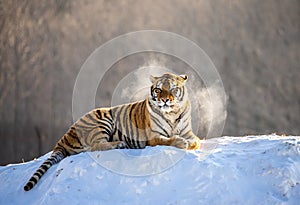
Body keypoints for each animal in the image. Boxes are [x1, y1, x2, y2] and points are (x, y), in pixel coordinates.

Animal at [24, 72, 202, 191]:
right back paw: (121, 143)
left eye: (172, 89)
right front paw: (182, 142)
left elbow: (196, 140)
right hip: (102, 120)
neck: (172, 113)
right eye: (158, 90)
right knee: (95, 146)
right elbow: (169, 140)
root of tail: (64, 137)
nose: (164, 100)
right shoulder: (154, 136)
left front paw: (191, 143)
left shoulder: (188, 131)